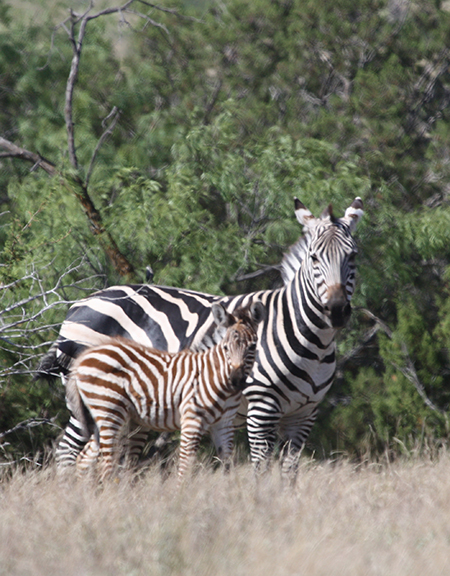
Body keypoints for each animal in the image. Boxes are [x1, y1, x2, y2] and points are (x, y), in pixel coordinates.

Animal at [65, 302, 266, 482]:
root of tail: (84, 356)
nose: (237, 380)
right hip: (109, 411)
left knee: (84, 459)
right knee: (106, 463)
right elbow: (185, 467)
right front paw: (181, 496)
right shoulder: (192, 420)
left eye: (252, 346)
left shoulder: (224, 424)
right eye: (225, 347)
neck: (218, 379)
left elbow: (226, 465)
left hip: (105, 416)